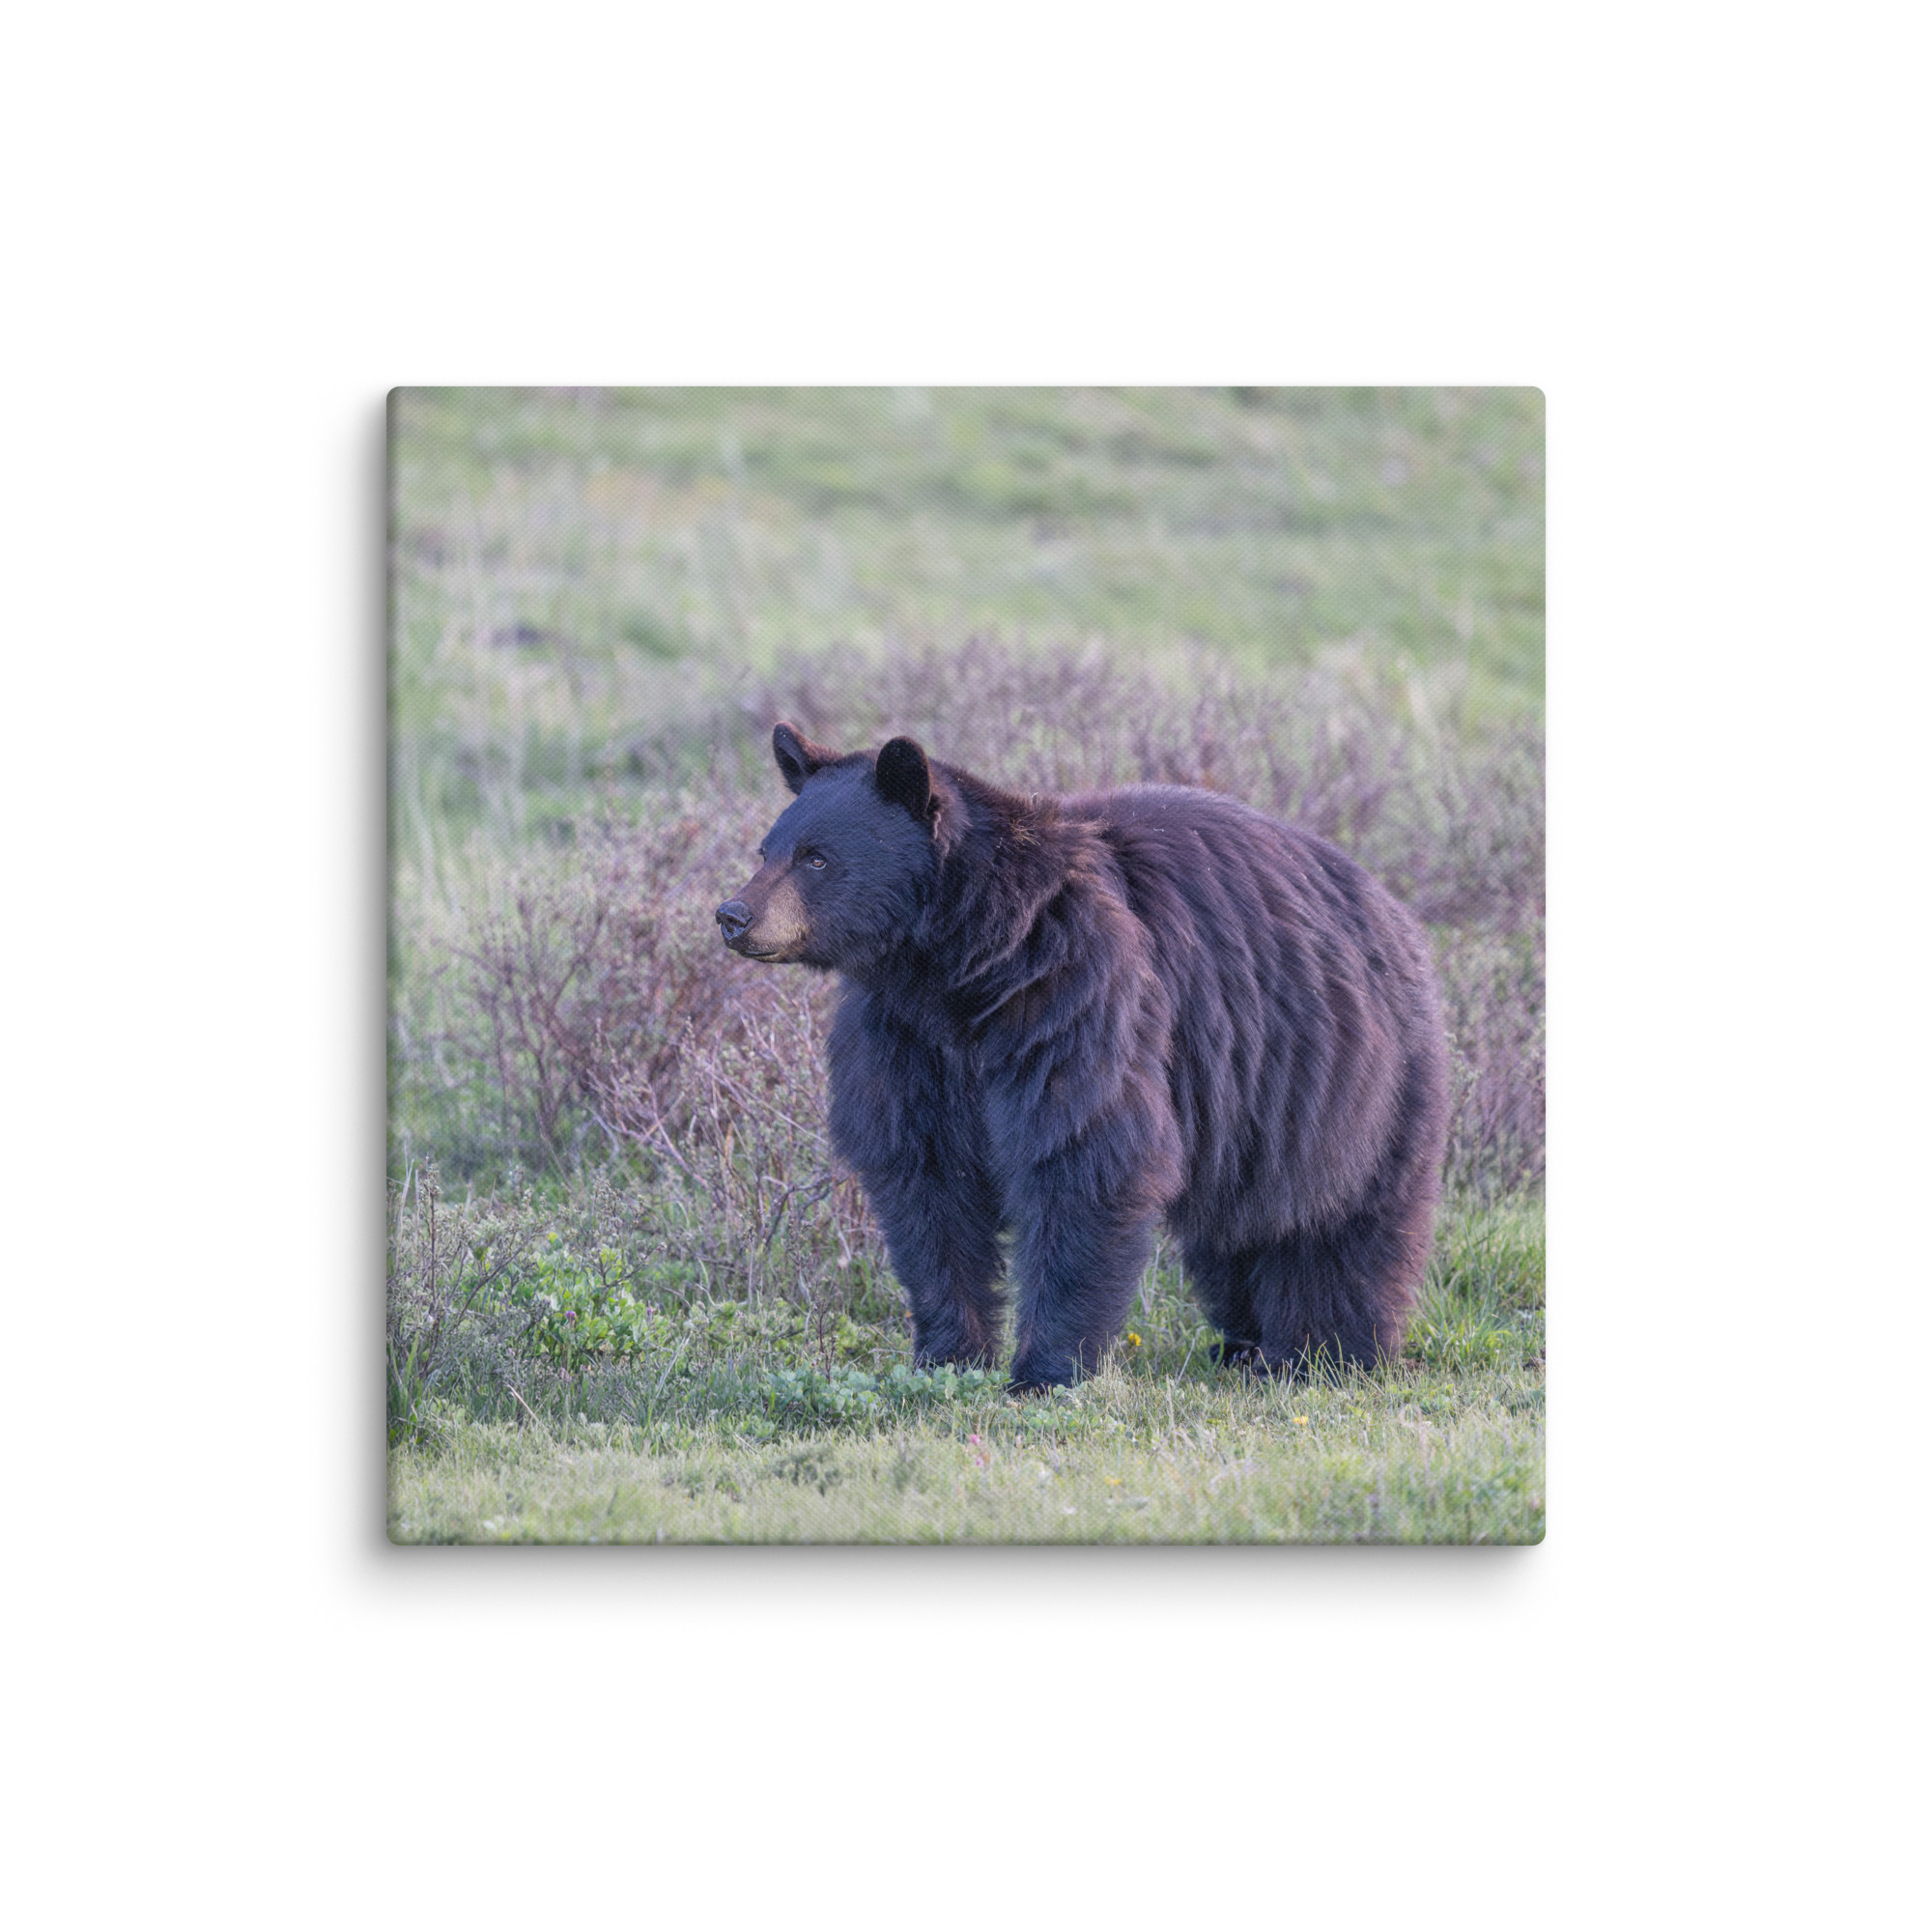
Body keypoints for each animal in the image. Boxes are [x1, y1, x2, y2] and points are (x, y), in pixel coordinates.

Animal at [715, 721, 1451, 1392]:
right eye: (766, 848)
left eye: (816, 858)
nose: (733, 914)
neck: (960, 965)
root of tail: (1391, 907)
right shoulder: (905, 1040)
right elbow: (926, 1181)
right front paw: (948, 1355)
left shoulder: (1074, 995)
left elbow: (1082, 1156)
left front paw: (1045, 1371)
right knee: (1238, 1230)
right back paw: (1244, 1344)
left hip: (1349, 1078)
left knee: (1342, 1221)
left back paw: (1325, 1351)